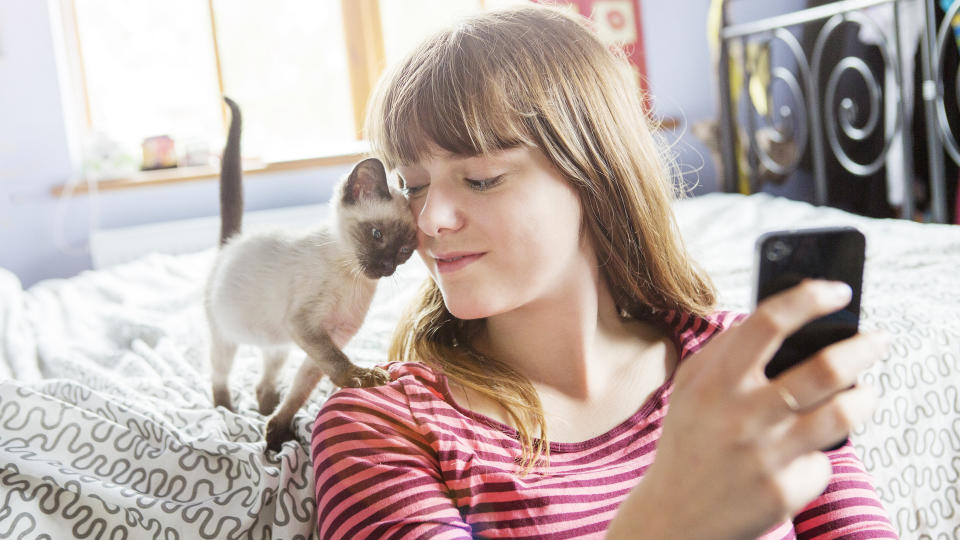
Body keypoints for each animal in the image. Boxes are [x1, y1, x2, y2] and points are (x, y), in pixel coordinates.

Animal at [206, 98, 416, 452]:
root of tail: (230, 243)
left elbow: (302, 387)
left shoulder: (332, 333)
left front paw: (277, 430)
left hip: (277, 344)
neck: (353, 279)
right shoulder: (307, 325)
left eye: (404, 251)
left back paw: (264, 409)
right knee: (219, 376)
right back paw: (227, 409)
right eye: (377, 235)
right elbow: (335, 361)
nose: (386, 268)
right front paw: (361, 377)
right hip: (226, 338)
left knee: (265, 381)